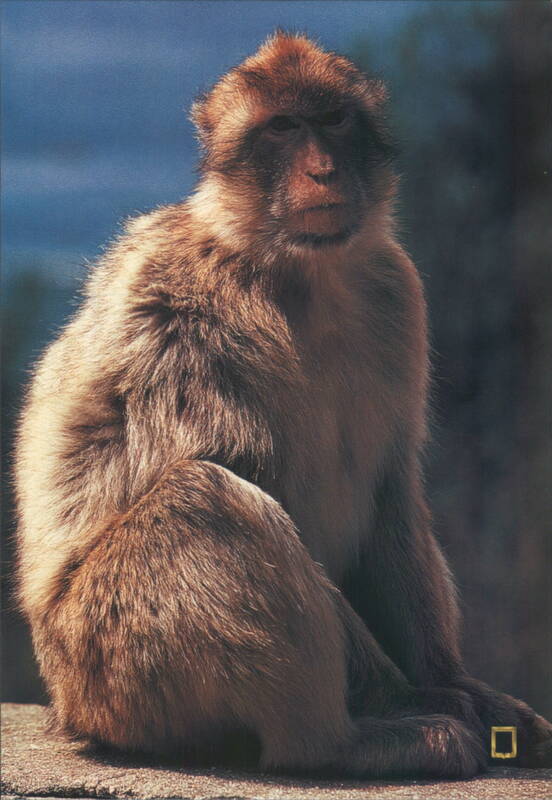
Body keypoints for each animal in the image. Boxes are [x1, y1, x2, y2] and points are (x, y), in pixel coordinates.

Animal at [15, 32, 552, 779]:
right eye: (283, 129)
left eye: (333, 120)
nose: (323, 171)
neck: (300, 271)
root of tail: (67, 707)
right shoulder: (191, 309)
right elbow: (250, 476)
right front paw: (424, 698)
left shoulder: (397, 287)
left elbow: (390, 490)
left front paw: (454, 683)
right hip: (108, 666)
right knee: (202, 499)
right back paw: (347, 741)